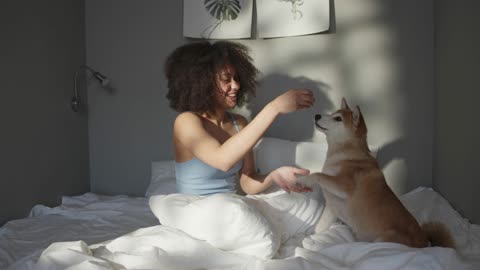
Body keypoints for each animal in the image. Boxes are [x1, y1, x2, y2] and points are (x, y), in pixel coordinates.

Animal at [302, 98, 456, 248]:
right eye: (333, 113)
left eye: (338, 118)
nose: (317, 115)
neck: (346, 155)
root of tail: (425, 243)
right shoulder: (332, 209)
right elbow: (319, 228)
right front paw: (309, 238)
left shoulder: (345, 186)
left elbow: (319, 175)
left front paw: (305, 179)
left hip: (382, 240)